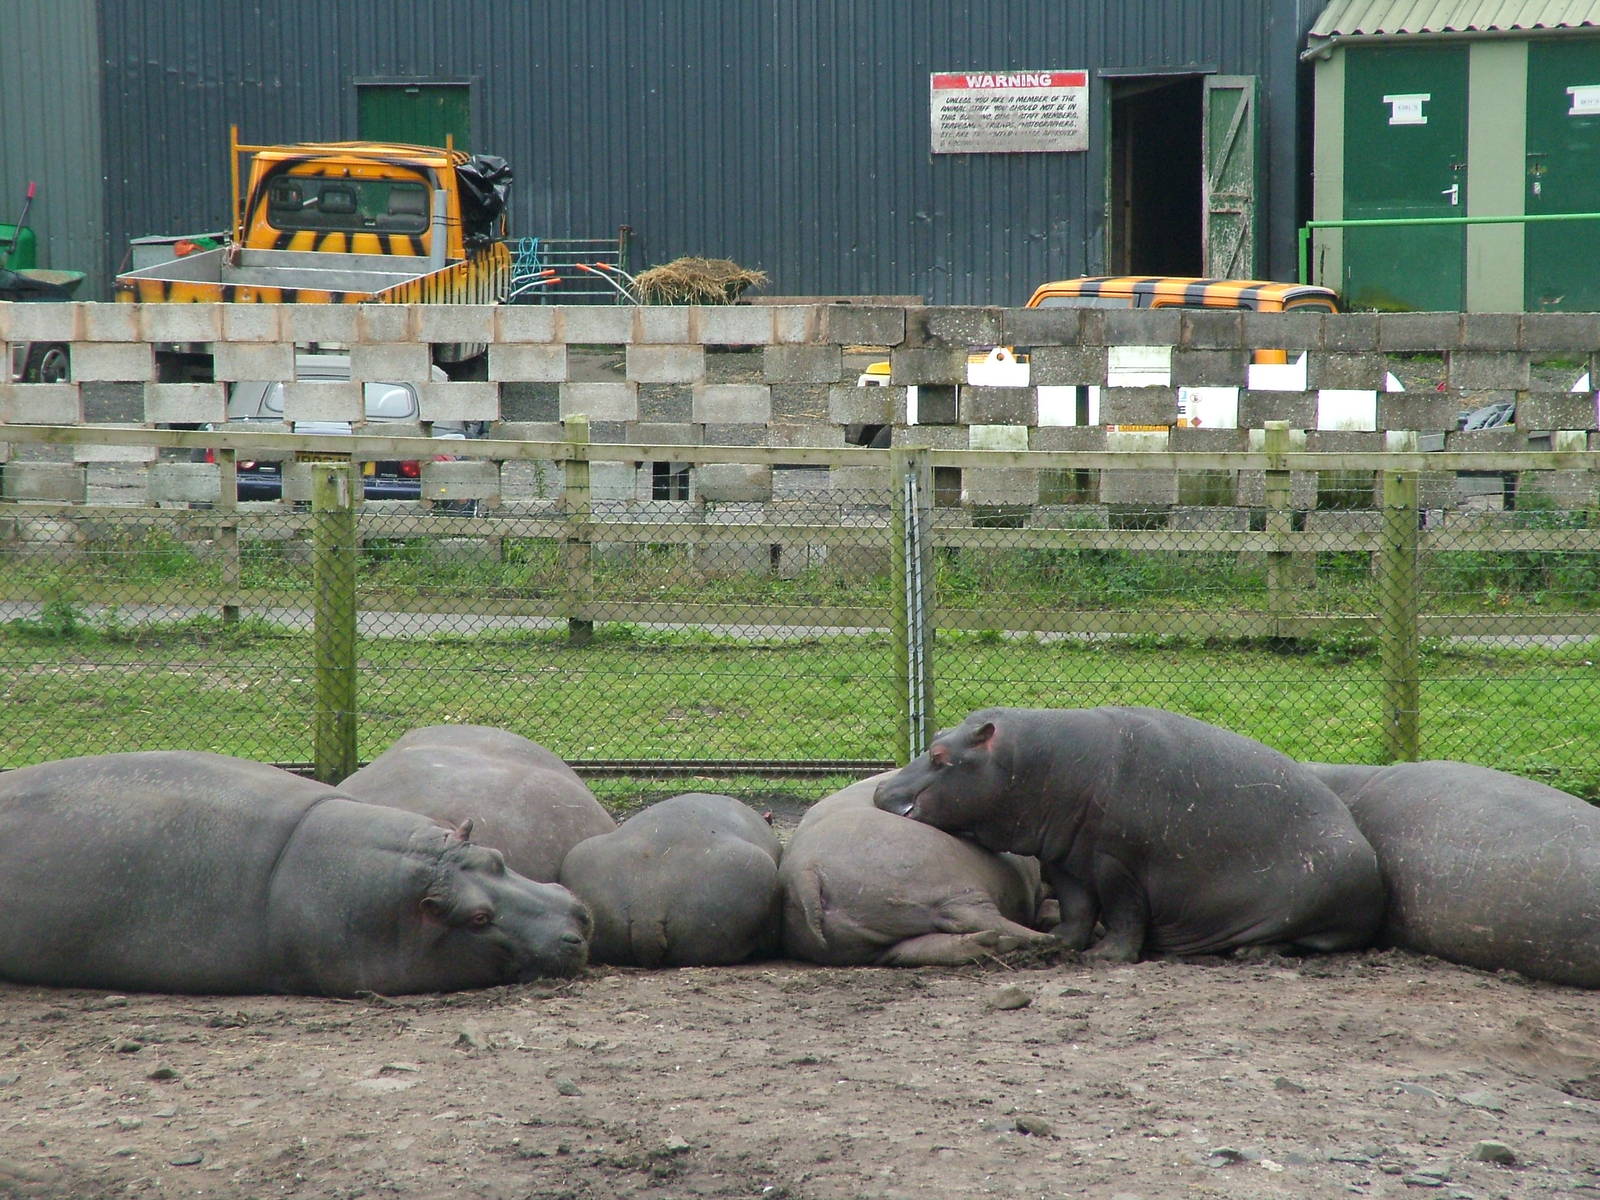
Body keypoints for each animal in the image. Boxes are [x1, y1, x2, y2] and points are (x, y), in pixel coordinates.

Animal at [782, 773, 1058, 966]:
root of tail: (805, 871)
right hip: (949, 886)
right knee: (973, 917)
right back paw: (1043, 939)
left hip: (867, 940)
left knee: (910, 949)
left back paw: (997, 942)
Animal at [875, 707, 1385, 962]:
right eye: (935, 737)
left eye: (939, 756)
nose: (880, 790)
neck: (1029, 760)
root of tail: (1365, 846)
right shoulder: (1064, 857)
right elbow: (1078, 908)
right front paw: (1060, 943)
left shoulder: (1118, 861)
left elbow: (1123, 911)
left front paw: (1105, 957)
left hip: (1319, 902)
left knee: (1312, 940)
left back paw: (1251, 951)